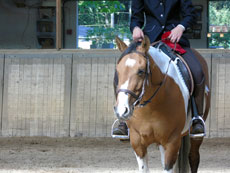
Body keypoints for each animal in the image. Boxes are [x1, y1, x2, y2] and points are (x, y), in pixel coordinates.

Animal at [113, 35, 210, 173]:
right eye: (118, 71)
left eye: (141, 71)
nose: (122, 110)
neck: (151, 107)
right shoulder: (137, 142)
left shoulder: (171, 142)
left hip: (194, 136)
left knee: (194, 157)